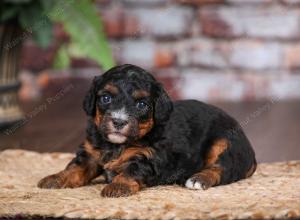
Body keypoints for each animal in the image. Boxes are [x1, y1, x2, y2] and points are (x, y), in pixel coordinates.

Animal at [38, 64, 256, 198]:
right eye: (106, 98)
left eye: (142, 104)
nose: (118, 121)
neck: (117, 145)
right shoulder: (91, 153)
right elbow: (75, 167)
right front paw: (55, 179)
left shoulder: (149, 157)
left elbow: (132, 170)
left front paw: (118, 186)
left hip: (224, 143)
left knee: (222, 168)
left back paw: (197, 179)